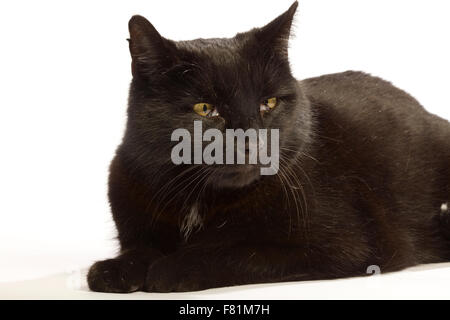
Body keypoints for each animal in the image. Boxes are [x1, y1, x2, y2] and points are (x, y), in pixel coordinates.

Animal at [86, 1, 448, 292]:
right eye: (205, 109)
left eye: (268, 103)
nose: (253, 141)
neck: (198, 198)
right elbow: (139, 247)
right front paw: (115, 269)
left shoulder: (342, 246)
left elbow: (237, 252)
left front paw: (171, 268)